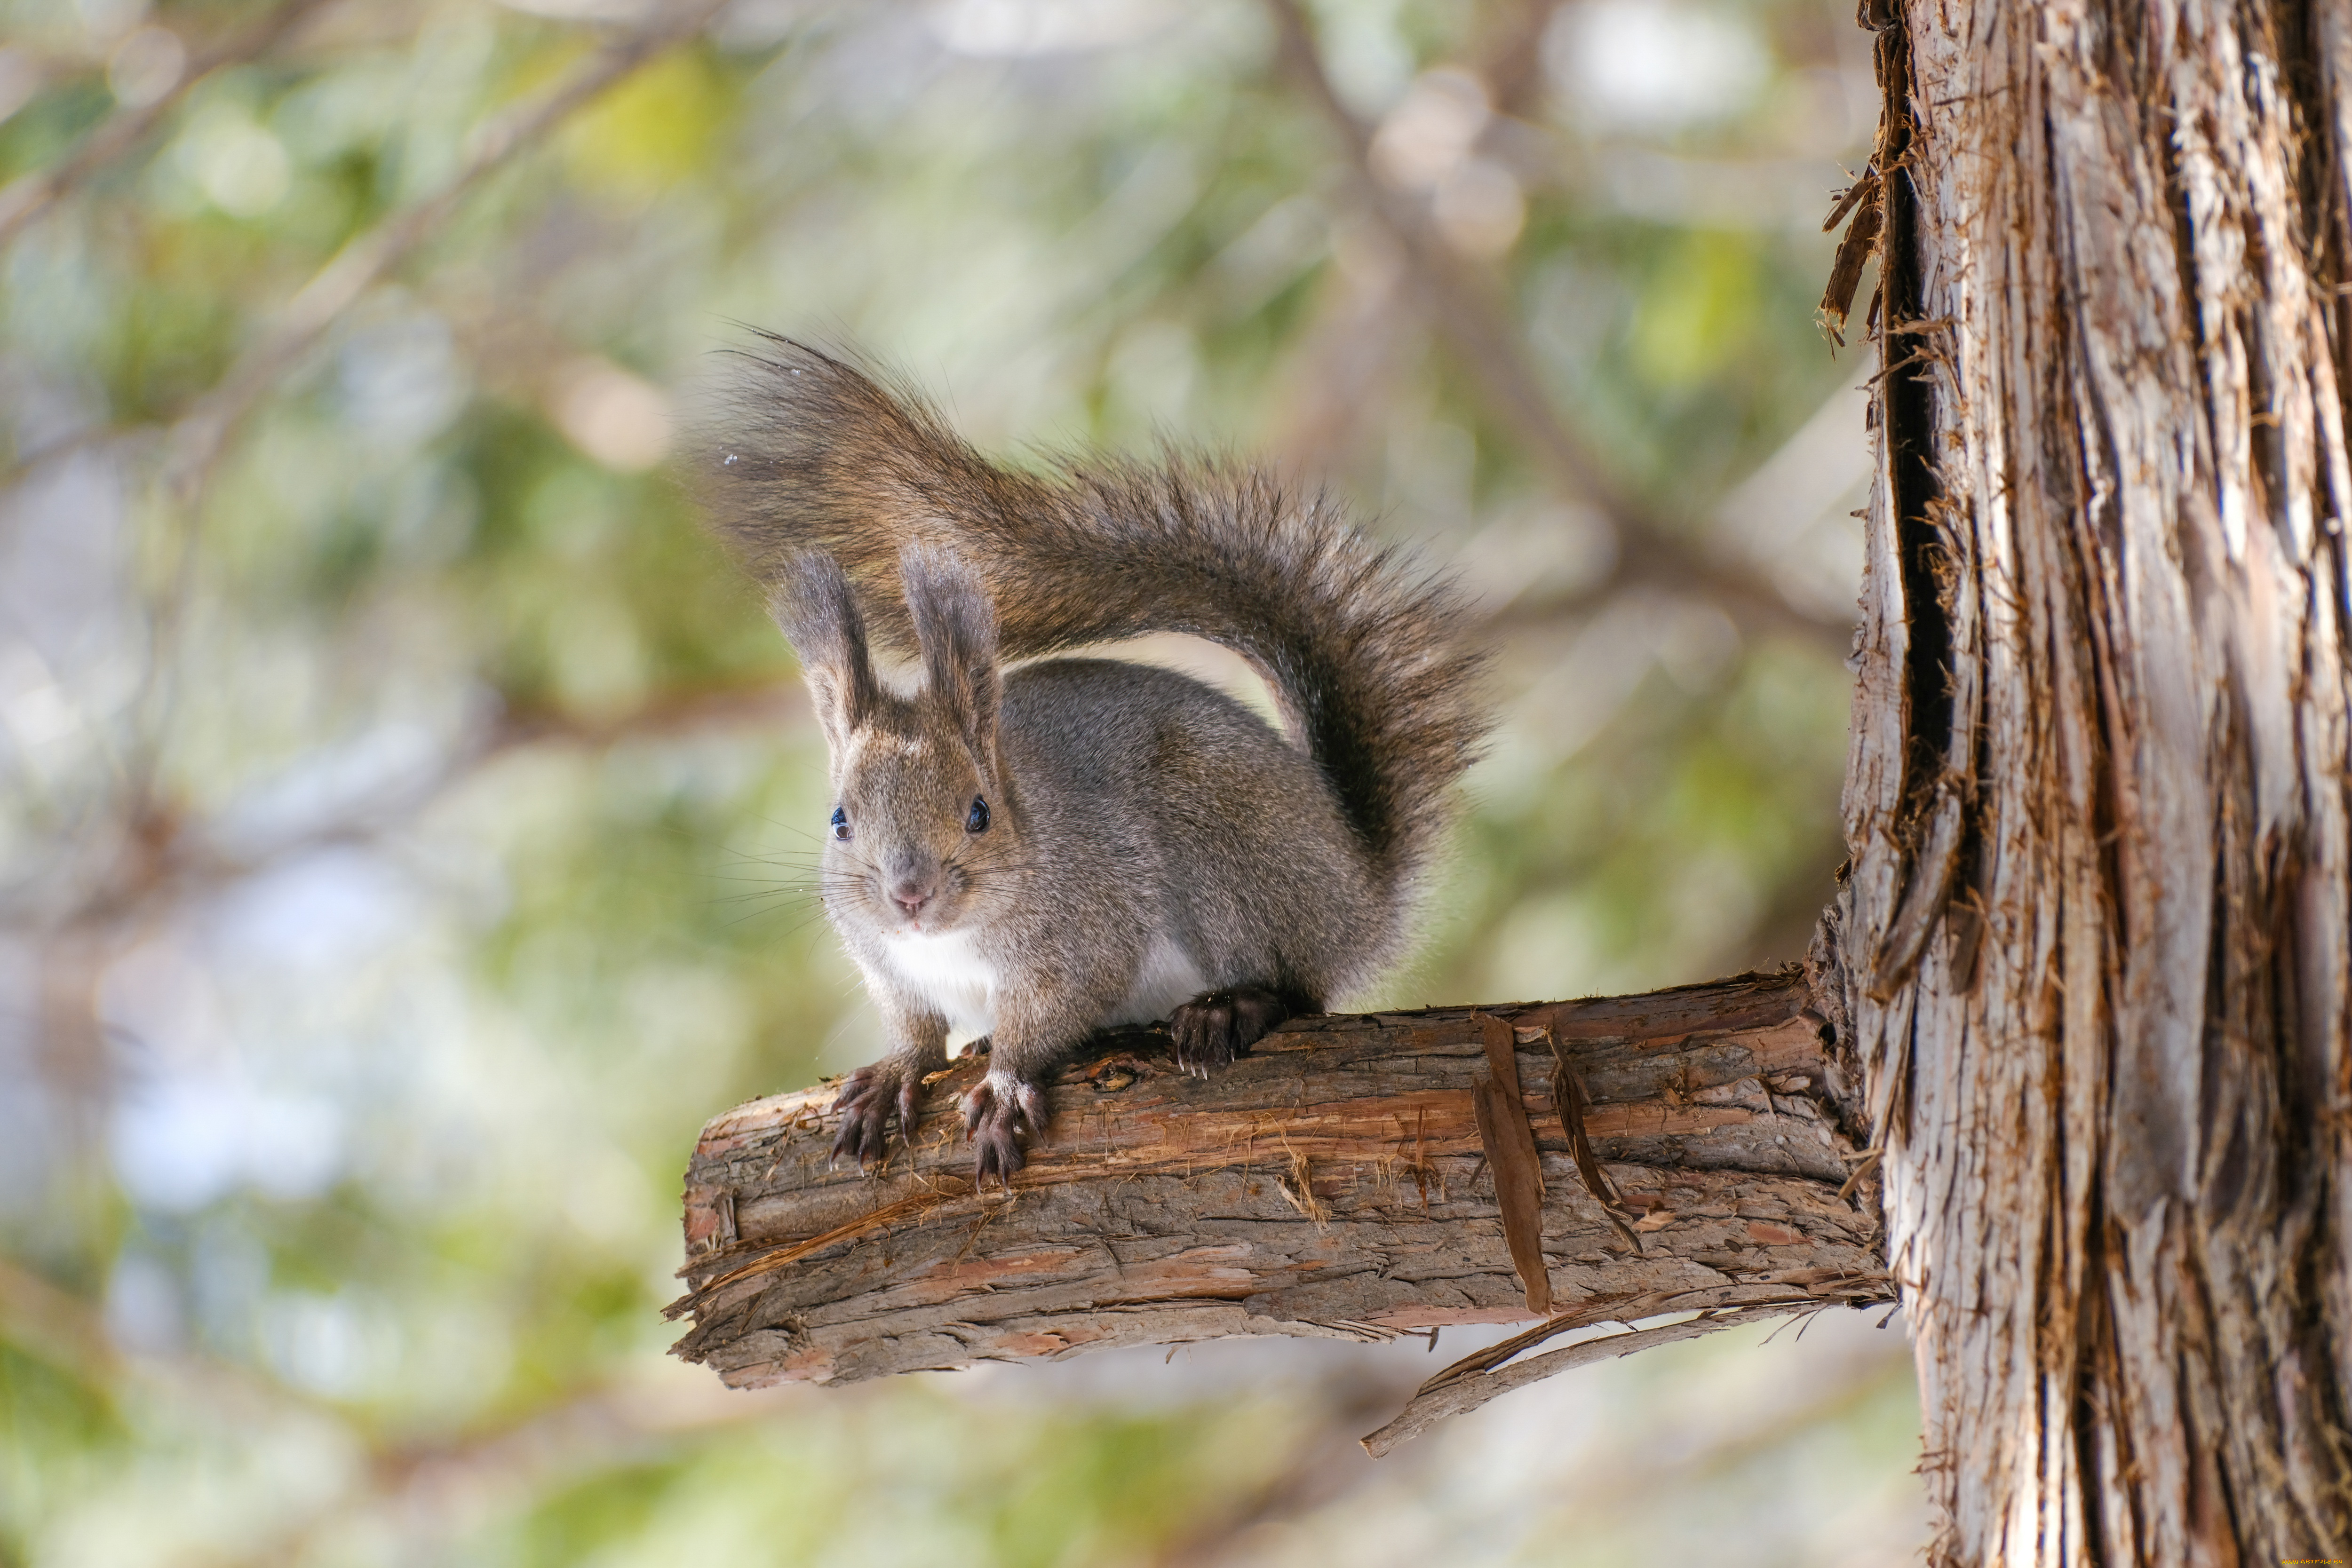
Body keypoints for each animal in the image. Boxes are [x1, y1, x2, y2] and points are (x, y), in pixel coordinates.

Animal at [687, 338, 1486, 1185]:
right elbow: (917, 1026)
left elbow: (1052, 1014)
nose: (910, 894)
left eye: (980, 812)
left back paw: (1230, 1006)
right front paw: (899, 1069)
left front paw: (1006, 1082)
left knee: (1297, 985)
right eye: (840, 819)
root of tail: (1360, 887)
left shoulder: (1088, 933)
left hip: (1225, 843)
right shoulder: (891, 967)